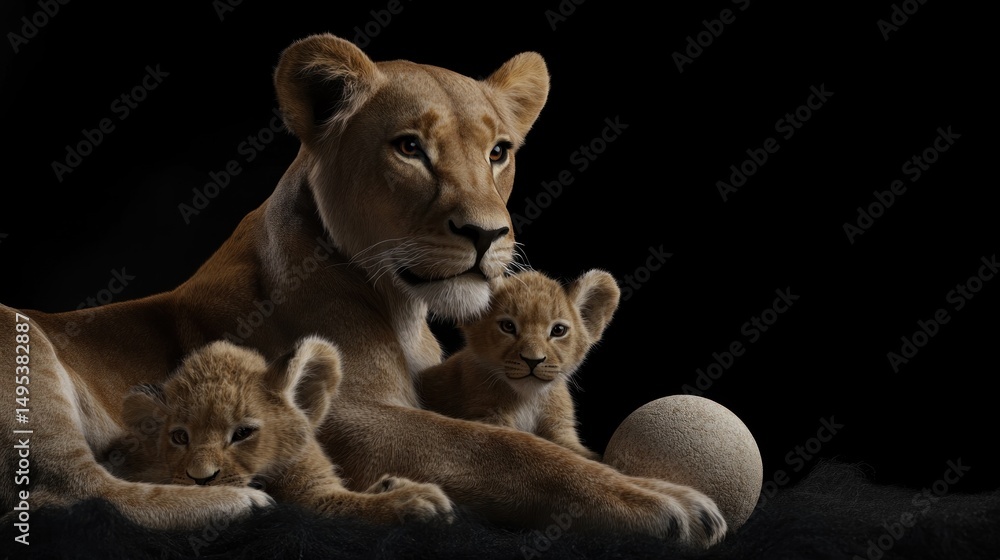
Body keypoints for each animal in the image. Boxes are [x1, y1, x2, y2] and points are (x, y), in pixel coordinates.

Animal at [105, 336, 451, 524]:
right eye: (180, 437)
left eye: (242, 433)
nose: (199, 479)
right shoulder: (311, 503)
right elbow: (351, 505)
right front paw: (414, 500)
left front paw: (393, 485)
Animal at [418, 269, 620, 461]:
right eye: (508, 326)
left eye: (558, 330)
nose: (533, 360)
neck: (528, 399)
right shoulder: (488, 418)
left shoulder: (560, 427)